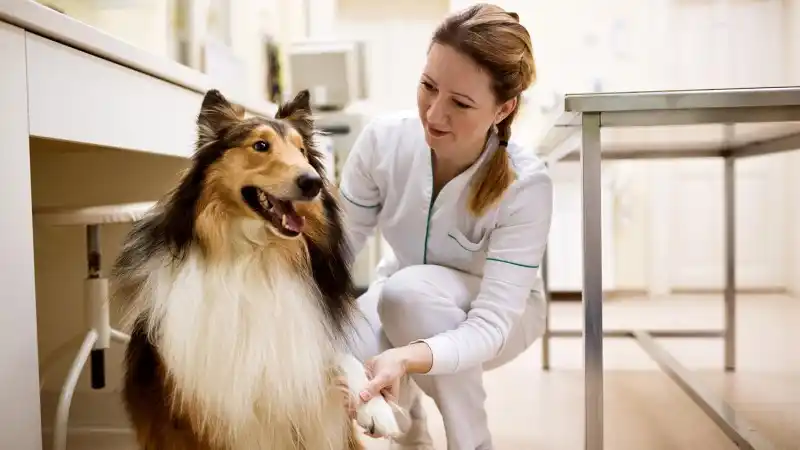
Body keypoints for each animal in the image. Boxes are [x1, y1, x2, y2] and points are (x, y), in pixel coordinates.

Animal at [111, 89, 398, 448]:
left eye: (302, 151)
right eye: (260, 146)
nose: (314, 182)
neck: (256, 254)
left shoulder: (301, 341)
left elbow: (343, 358)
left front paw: (375, 406)